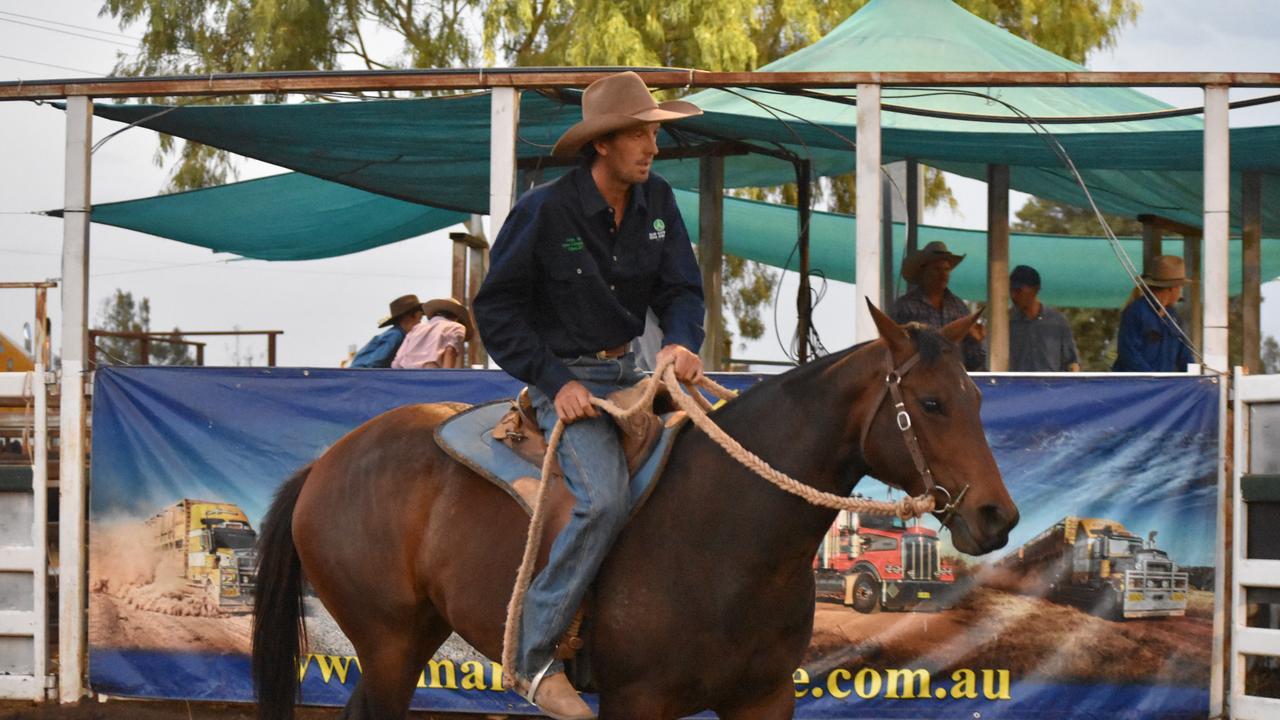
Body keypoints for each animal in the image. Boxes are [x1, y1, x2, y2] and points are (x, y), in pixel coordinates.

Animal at [249, 303, 1018, 717]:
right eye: (931, 403)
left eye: (977, 397)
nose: (997, 517)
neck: (728, 530)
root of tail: (325, 464)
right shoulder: (637, 702)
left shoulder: (763, 699)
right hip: (384, 641)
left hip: (413, 636)